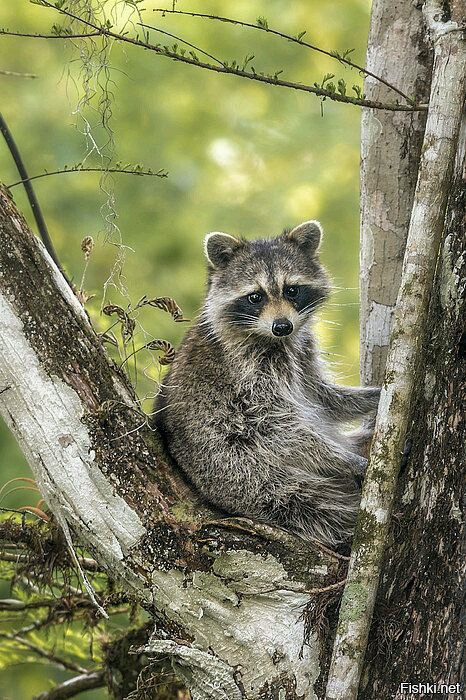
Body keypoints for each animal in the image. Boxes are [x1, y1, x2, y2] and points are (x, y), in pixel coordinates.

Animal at [155, 221, 380, 548]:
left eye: (292, 290)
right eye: (255, 297)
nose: (282, 326)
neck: (274, 339)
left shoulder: (302, 353)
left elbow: (323, 398)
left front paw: (375, 395)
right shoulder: (246, 373)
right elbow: (281, 427)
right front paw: (345, 459)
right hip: (245, 476)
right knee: (315, 505)